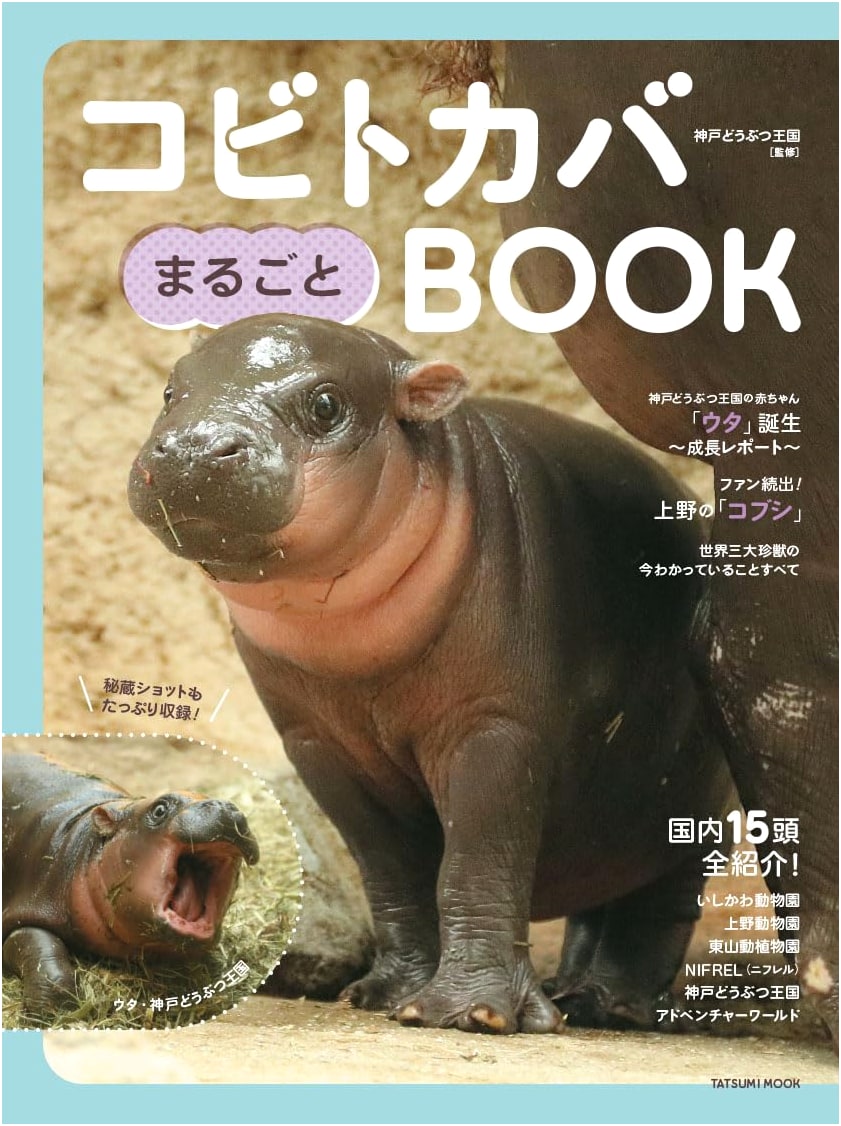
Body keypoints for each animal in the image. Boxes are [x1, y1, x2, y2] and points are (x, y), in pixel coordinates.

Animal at [128, 312, 732, 1034]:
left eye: (326, 404)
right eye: (170, 390)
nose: (191, 445)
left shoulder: (493, 727)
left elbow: (475, 862)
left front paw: (471, 1013)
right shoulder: (318, 745)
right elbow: (393, 874)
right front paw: (383, 994)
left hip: (687, 811)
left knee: (659, 907)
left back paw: (609, 1005)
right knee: (601, 897)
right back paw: (567, 992)